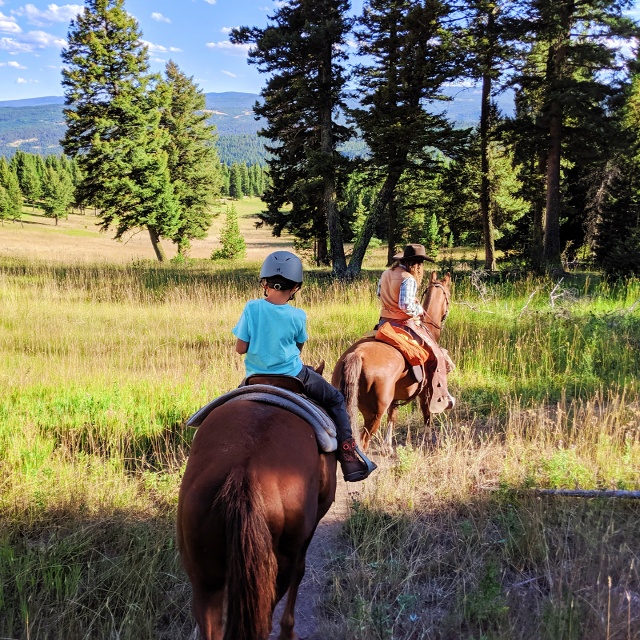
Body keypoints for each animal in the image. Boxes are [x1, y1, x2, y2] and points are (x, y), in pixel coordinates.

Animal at [332, 270, 452, 450]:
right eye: (449, 295)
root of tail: (357, 355)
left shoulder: (395, 397)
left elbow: (392, 416)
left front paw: (387, 445)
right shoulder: (426, 391)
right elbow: (427, 415)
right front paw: (429, 439)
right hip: (373, 415)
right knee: (364, 441)